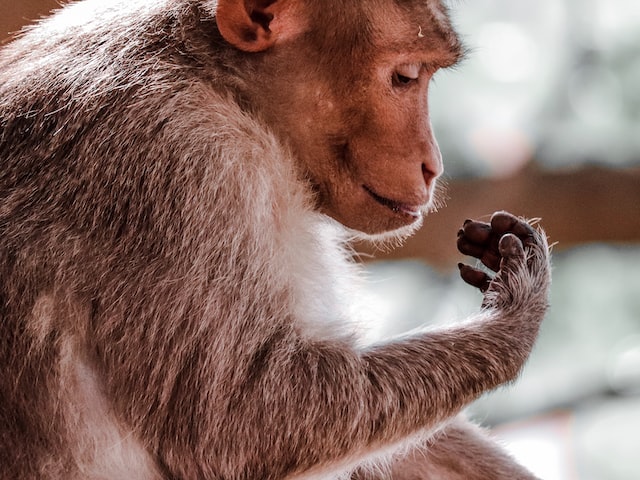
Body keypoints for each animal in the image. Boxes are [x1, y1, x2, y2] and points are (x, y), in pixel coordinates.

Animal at [0, 0, 552, 478]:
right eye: (405, 77)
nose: (432, 165)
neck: (217, 79)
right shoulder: (185, 163)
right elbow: (241, 425)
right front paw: (515, 305)